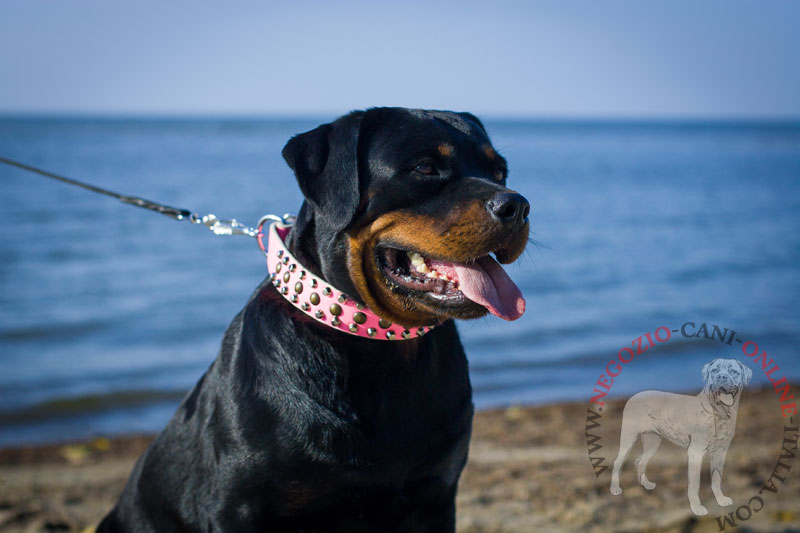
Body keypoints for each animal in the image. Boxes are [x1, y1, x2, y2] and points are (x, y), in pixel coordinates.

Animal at [98, 108, 532, 532]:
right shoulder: (236, 508)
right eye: (425, 167)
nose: (518, 206)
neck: (378, 346)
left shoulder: (435, 496)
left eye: (500, 173)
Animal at [608, 358, 752, 516]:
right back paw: (615, 489)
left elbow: (716, 479)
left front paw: (720, 499)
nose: (721, 377)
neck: (719, 413)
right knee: (617, 462)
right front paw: (697, 508)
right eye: (715, 370)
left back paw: (646, 484)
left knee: (640, 461)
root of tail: (633, 397)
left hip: (653, 441)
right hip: (628, 438)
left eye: (733, 371)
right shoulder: (695, 452)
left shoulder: (720, 452)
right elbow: (694, 484)